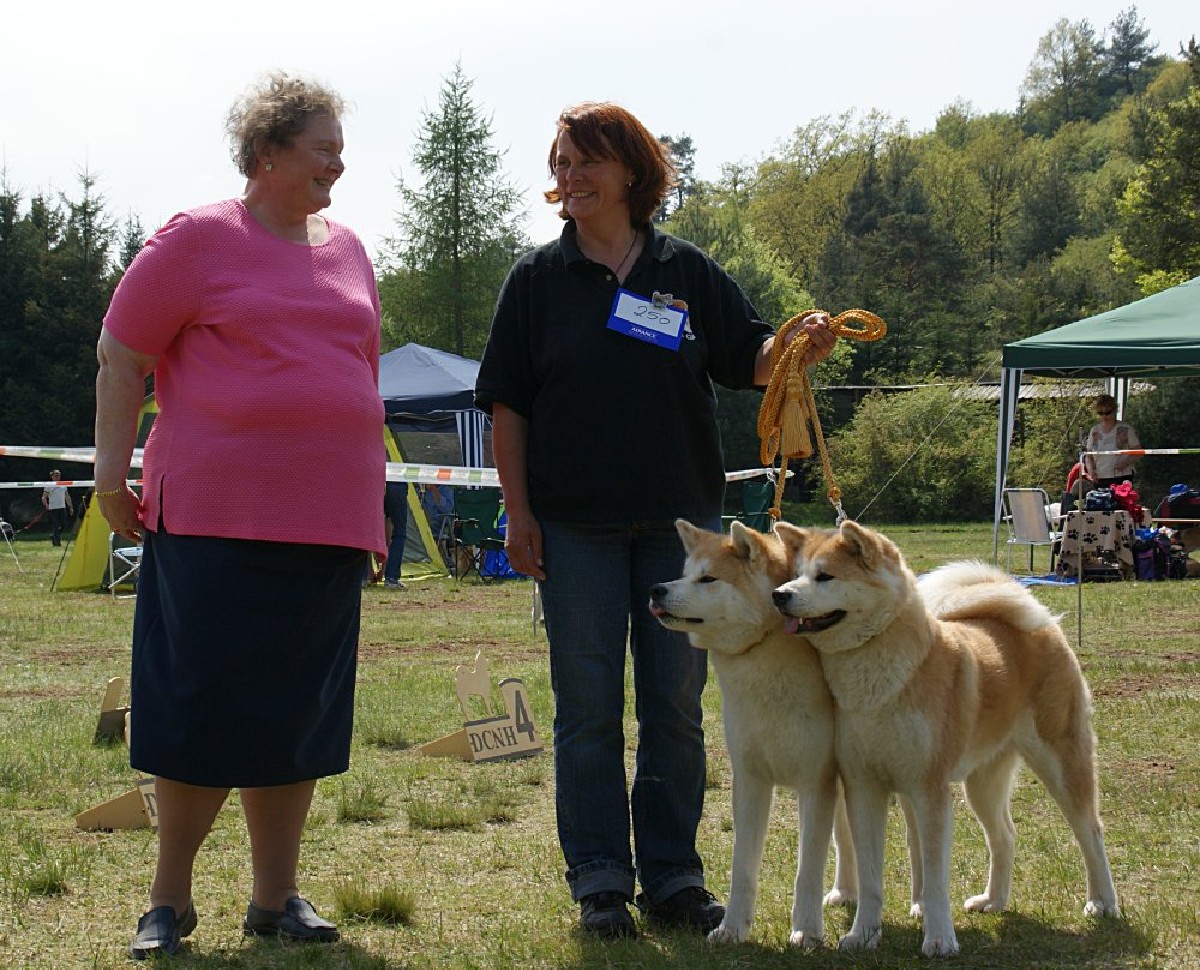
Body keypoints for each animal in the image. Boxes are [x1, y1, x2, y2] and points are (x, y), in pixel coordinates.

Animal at [648, 519, 853, 947]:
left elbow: (807, 870)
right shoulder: (750, 779)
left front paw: (806, 930)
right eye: (684, 573)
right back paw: (846, 892)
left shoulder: (816, 781)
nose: (656, 589)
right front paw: (732, 928)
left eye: (708, 578)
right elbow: (742, 867)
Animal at [771, 519, 1120, 957]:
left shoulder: (929, 789)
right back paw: (993, 901)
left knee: (1090, 831)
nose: (779, 595)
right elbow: (870, 877)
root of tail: (1042, 625)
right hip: (983, 783)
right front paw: (862, 934)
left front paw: (939, 938)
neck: (881, 677)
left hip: (1062, 762)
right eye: (795, 574)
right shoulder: (864, 787)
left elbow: (935, 877)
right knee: (1005, 836)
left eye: (825, 577)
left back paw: (1103, 902)